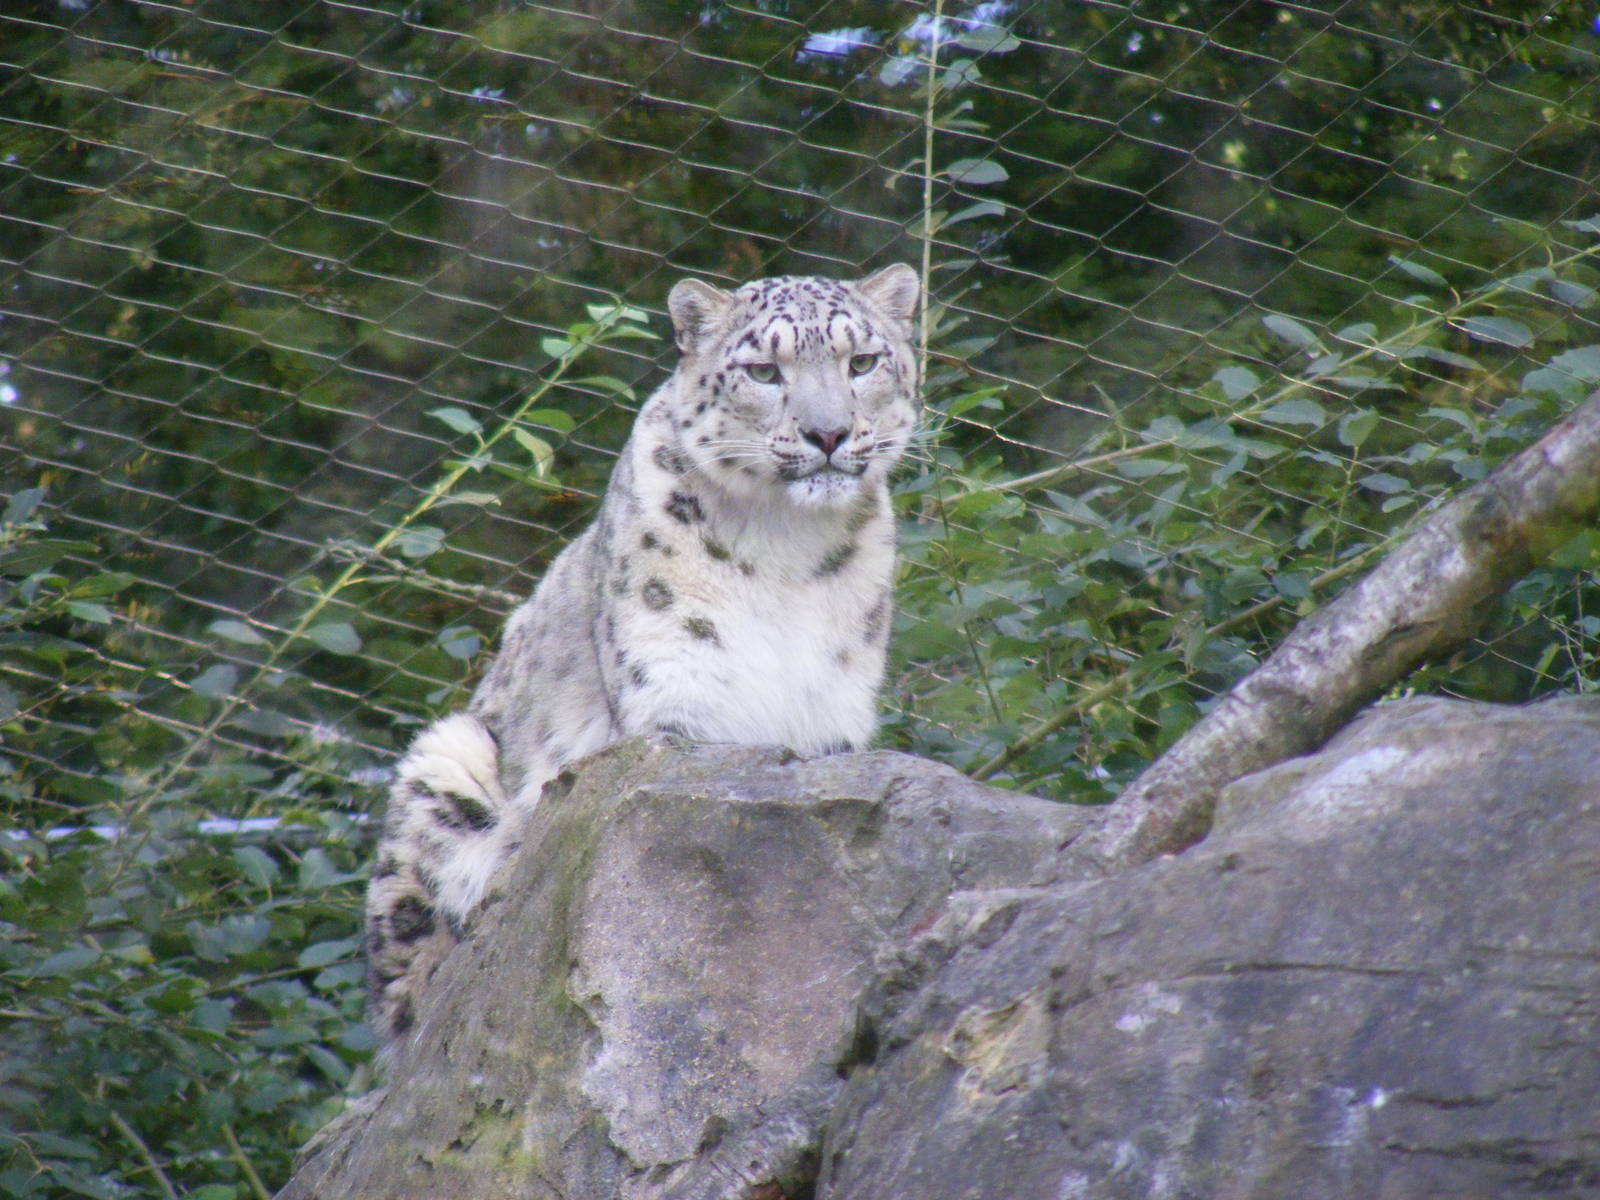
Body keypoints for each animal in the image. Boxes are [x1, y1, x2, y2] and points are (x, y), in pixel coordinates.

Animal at [365, 264, 922, 1047]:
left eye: (863, 361)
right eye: (763, 371)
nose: (829, 433)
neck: (785, 543)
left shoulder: (832, 716)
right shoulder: (675, 701)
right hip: (447, 755)